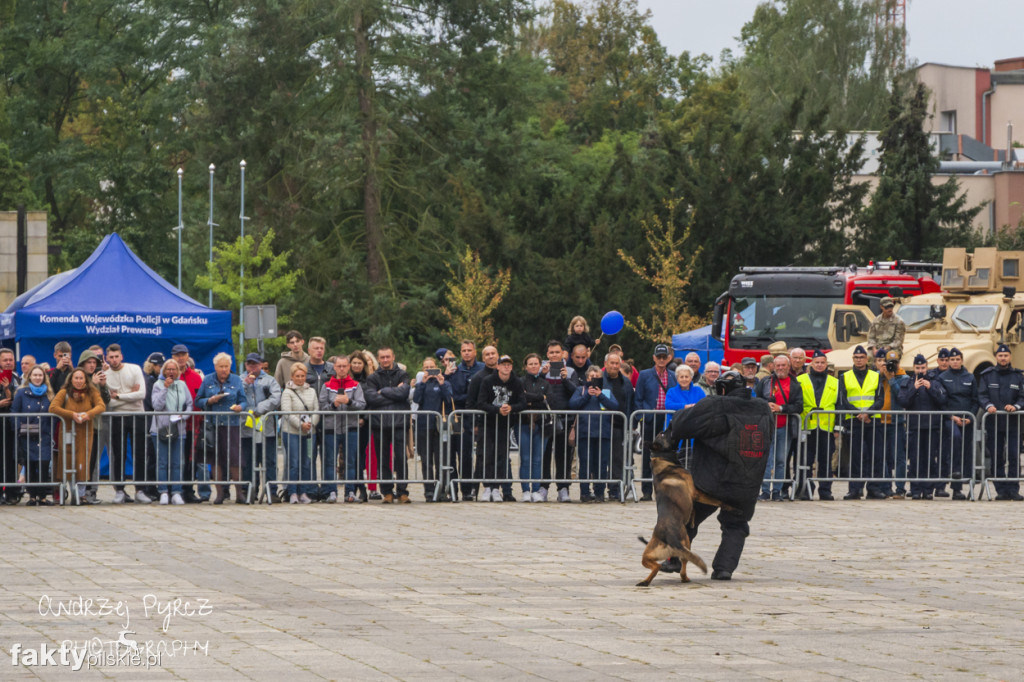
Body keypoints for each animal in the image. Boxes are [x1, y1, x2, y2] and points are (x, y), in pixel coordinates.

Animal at [634, 436, 733, 585]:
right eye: (663, 435)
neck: (662, 460)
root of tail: (670, 537)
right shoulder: (695, 493)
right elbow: (716, 500)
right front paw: (729, 505)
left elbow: (693, 510)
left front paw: (691, 520)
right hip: (686, 544)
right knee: (682, 567)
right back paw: (685, 578)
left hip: (647, 556)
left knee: (657, 567)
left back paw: (645, 582)